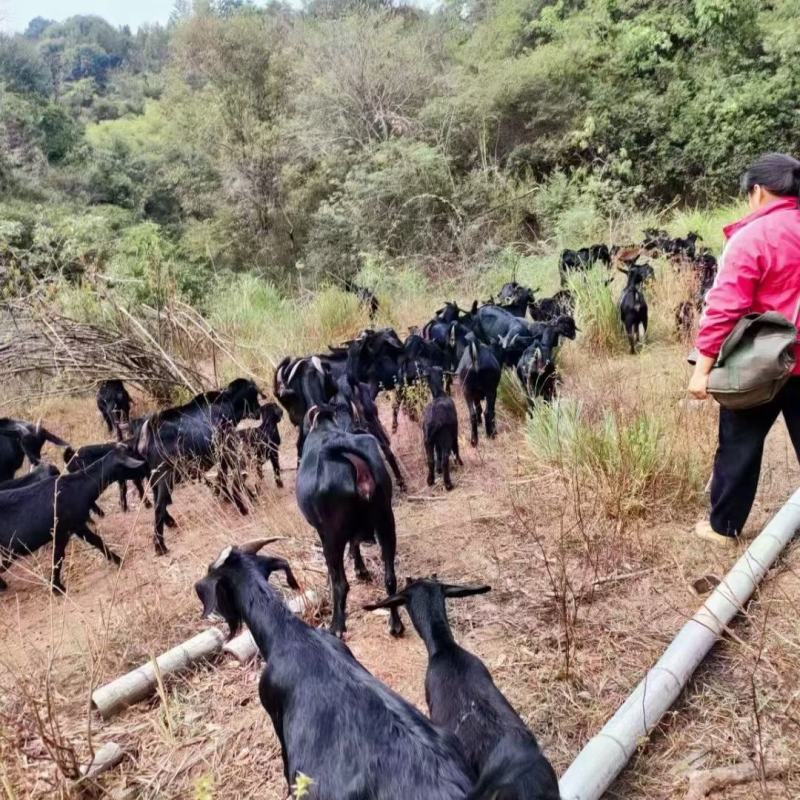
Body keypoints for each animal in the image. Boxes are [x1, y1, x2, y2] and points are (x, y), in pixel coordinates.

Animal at [0, 446, 142, 592]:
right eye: (133, 456)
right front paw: (57, 587)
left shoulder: (71, 528)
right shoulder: (69, 528)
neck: (81, 486)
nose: (146, 468)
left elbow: (88, 544)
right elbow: (61, 555)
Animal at [136, 376, 260, 552]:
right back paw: (160, 546)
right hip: (165, 477)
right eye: (254, 395)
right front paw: (243, 501)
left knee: (157, 504)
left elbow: (222, 476)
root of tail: (148, 435)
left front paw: (226, 496)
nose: (258, 411)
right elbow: (234, 475)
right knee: (159, 507)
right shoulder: (226, 449)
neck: (226, 402)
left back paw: (171, 523)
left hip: (154, 478)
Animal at [296, 406, 404, 636]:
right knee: (390, 578)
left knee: (341, 584)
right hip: (386, 522)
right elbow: (355, 545)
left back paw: (336, 626)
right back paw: (395, 623)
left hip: (333, 537)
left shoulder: (323, 531)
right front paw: (361, 570)